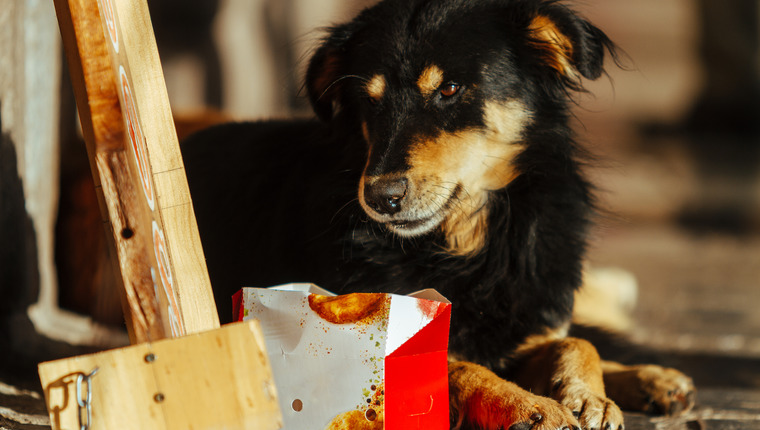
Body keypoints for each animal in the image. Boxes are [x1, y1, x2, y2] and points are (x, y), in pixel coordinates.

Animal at [183, 1, 696, 428]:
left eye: (449, 88)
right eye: (369, 101)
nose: (381, 196)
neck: (469, 245)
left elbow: (575, 341)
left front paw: (588, 395)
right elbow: (462, 366)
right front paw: (530, 406)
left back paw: (652, 377)